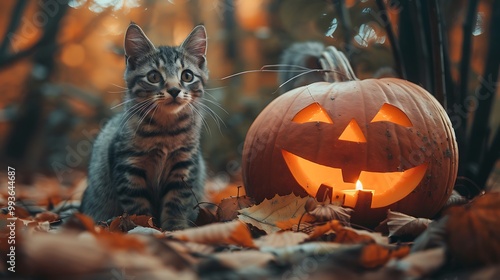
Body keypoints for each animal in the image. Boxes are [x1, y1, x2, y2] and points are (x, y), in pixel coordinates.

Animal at [80, 23, 209, 230]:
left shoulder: (184, 165)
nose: (174, 90)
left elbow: (176, 202)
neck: (166, 130)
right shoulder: (128, 167)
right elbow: (138, 207)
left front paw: (175, 228)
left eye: (187, 76)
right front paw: (145, 228)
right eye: (154, 76)